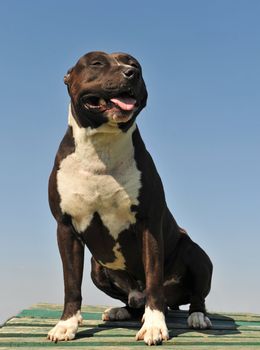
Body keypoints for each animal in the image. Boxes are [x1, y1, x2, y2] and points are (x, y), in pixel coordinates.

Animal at [47, 51, 212, 344]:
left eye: (134, 64)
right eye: (96, 63)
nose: (130, 73)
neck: (102, 146)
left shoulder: (149, 225)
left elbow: (154, 279)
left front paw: (156, 326)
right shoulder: (65, 228)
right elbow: (71, 283)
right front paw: (67, 324)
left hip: (196, 254)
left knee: (193, 295)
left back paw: (196, 316)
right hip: (97, 268)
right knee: (134, 301)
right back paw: (121, 310)